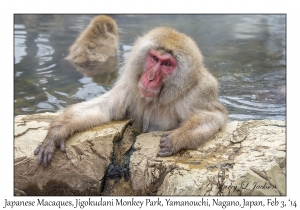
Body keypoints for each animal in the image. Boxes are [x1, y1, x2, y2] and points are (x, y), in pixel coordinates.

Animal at [34, 25, 227, 166]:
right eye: (154, 58)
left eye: (167, 64)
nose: (150, 78)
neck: (157, 99)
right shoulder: (130, 85)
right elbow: (104, 107)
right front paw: (56, 133)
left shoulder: (199, 92)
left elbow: (213, 116)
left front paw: (177, 139)